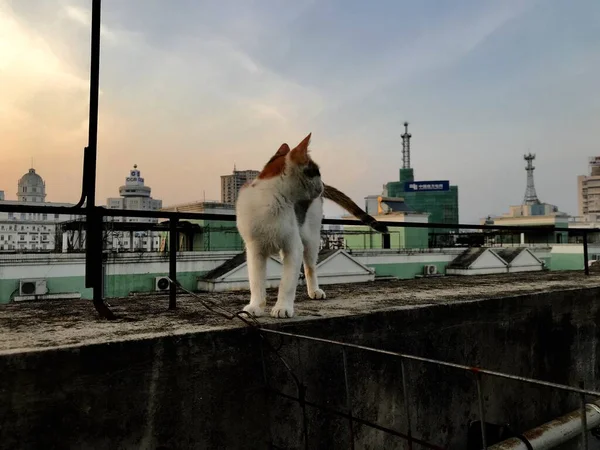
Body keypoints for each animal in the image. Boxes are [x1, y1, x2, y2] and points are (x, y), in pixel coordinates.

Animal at [236, 132, 390, 318]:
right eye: (317, 173)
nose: (323, 185)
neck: (272, 200)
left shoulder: (293, 247)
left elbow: (287, 282)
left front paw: (282, 307)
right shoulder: (255, 249)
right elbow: (256, 281)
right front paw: (256, 306)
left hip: (311, 237)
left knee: (310, 266)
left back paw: (314, 290)